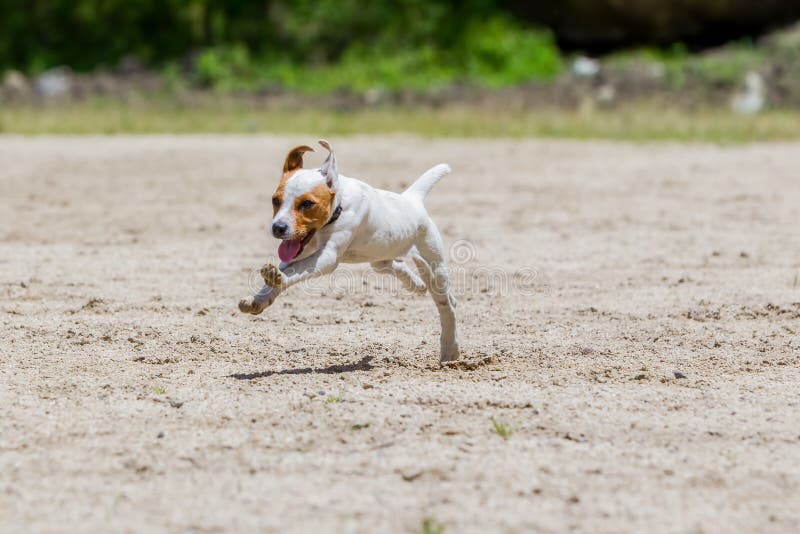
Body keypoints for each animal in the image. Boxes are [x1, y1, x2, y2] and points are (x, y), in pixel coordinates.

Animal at [238, 139, 460, 364]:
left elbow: (293, 272)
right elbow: (282, 273)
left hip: (434, 264)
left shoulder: (328, 256)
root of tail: (412, 199)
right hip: (380, 256)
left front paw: (278, 278)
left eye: (307, 203)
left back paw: (450, 348)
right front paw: (258, 299)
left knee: (445, 306)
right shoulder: (297, 251)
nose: (278, 228)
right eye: (275, 200)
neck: (340, 206)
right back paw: (416, 285)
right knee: (394, 266)